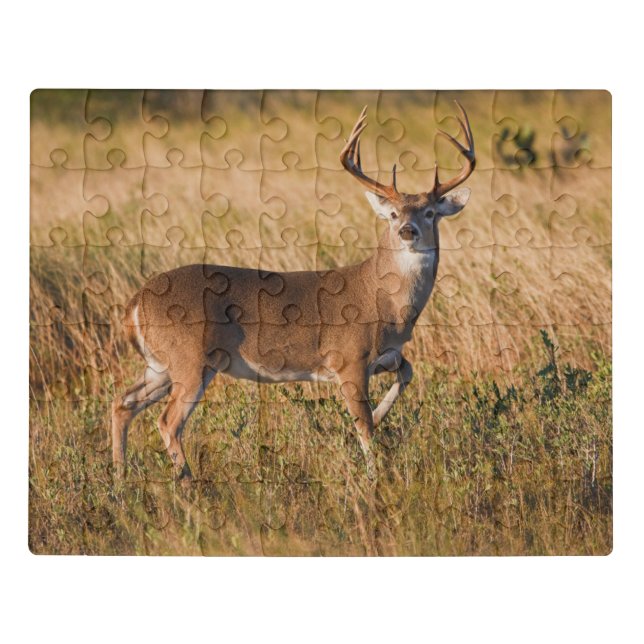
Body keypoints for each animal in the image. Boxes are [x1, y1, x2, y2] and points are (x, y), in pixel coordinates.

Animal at [111, 101, 475, 482]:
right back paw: (188, 484)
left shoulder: (388, 356)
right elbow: (364, 427)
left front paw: (378, 417)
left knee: (122, 403)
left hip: (161, 365)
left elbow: (407, 374)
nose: (408, 231)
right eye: (391, 213)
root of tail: (135, 302)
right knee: (167, 422)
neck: (385, 301)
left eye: (430, 212)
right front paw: (375, 479)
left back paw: (120, 478)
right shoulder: (348, 358)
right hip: (189, 359)